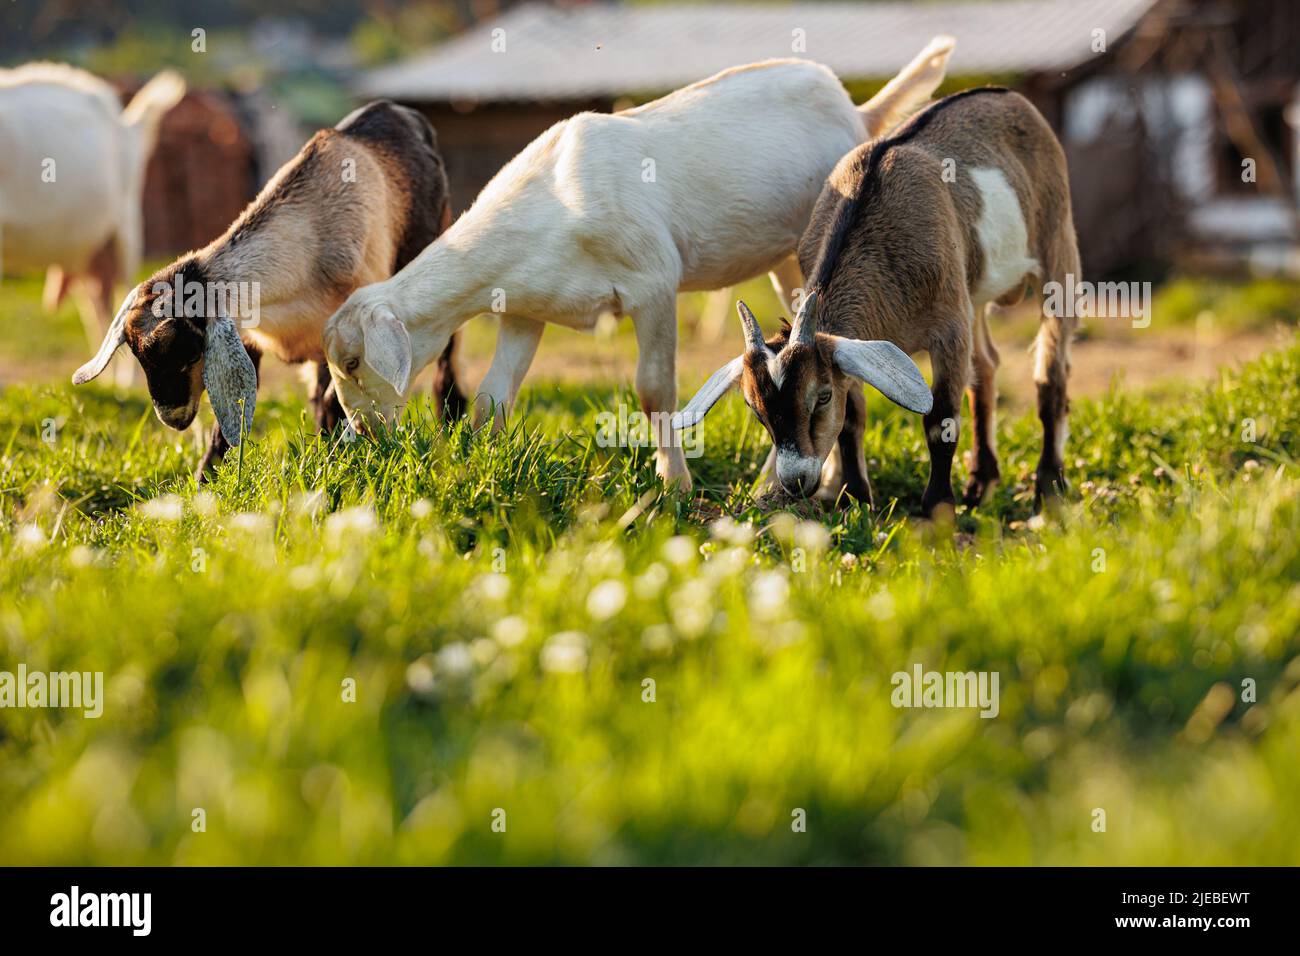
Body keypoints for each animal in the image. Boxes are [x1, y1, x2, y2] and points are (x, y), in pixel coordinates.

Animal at [0, 61, 188, 385]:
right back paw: (104, 379)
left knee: (125, 291)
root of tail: (126, 126)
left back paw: (127, 383)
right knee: (98, 306)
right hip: (88, 255)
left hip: (126, 221)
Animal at [72, 98, 467, 478]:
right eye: (139, 357)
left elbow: (334, 400)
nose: (173, 419)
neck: (307, 244)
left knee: (446, 352)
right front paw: (205, 479)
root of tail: (400, 112)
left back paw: (451, 418)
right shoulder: (251, 337)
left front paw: (338, 462)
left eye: (189, 351)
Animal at [325, 35, 956, 494]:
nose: (365, 435)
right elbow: (491, 398)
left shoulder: (653, 284)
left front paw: (674, 484)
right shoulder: (525, 308)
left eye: (353, 362)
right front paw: (481, 467)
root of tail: (860, 110)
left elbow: (654, 389)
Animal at [676, 87, 1081, 520]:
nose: (796, 481)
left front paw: (937, 510)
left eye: (822, 397)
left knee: (1051, 374)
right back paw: (980, 484)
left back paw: (1048, 490)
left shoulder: (949, 327)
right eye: (755, 409)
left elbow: (940, 419)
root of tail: (1008, 96)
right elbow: (853, 419)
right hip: (974, 291)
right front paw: (856, 500)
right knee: (986, 366)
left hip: (1057, 246)